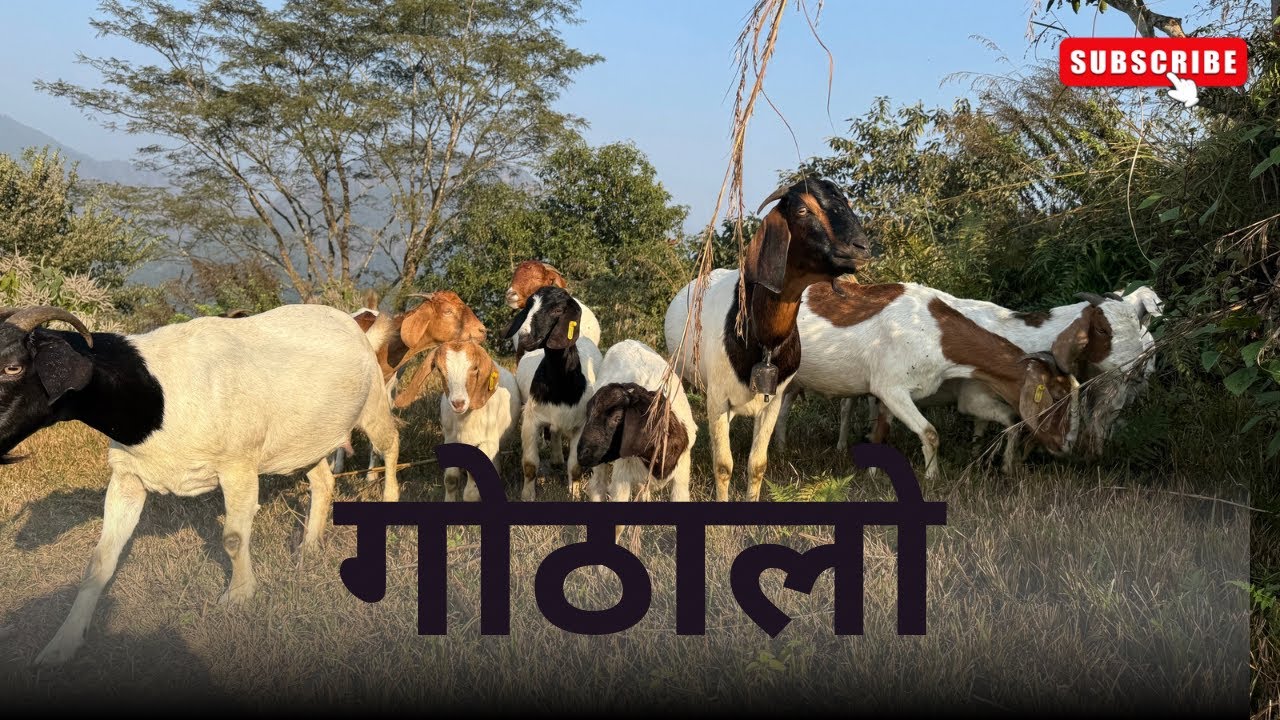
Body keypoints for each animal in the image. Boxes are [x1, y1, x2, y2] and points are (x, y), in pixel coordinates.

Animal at [0, 304, 400, 664]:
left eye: (13, 366)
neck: (157, 396)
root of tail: (356, 328)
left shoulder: (238, 465)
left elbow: (233, 539)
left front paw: (238, 597)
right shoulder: (128, 477)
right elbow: (101, 559)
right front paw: (62, 644)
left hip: (374, 402)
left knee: (391, 444)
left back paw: (389, 512)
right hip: (305, 440)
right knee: (323, 481)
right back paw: (309, 547)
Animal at [433, 340, 521, 501]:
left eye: (474, 368)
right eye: (440, 370)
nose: (458, 403)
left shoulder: (487, 443)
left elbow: (471, 492)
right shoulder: (450, 439)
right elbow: (450, 480)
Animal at [510, 286, 602, 501]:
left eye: (558, 310)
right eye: (528, 306)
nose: (524, 337)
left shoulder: (581, 424)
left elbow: (575, 467)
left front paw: (574, 494)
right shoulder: (531, 419)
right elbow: (530, 465)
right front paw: (527, 495)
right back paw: (555, 459)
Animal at [577, 340, 696, 506]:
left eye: (618, 418)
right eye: (588, 414)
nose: (582, 455)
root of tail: (627, 341)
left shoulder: (681, 476)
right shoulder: (621, 478)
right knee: (597, 486)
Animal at [664, 177, 870, 501]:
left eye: (847, 203)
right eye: (802, 209)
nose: (861, 247)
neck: (762, 340)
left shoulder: (772, 401)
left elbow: (757, 464)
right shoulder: (717, 397)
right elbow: (723, 465)